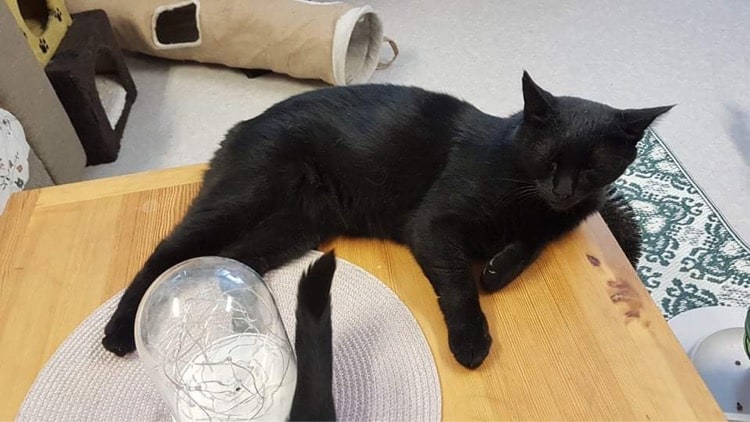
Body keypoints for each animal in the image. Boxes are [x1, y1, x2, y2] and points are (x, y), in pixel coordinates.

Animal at [101, 72, 671, 369]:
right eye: (550, 160)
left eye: (592, 167)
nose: (564, 190)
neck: (525, 192)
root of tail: (243, 124)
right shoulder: (434, 226)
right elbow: (459, 286)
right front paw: (471, 339)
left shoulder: (554, 223)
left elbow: (528, 247)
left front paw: (496, 268)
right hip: (242, 198)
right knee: (169, 252)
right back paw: (121, 330)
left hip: (293, 230)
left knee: (231, 259)